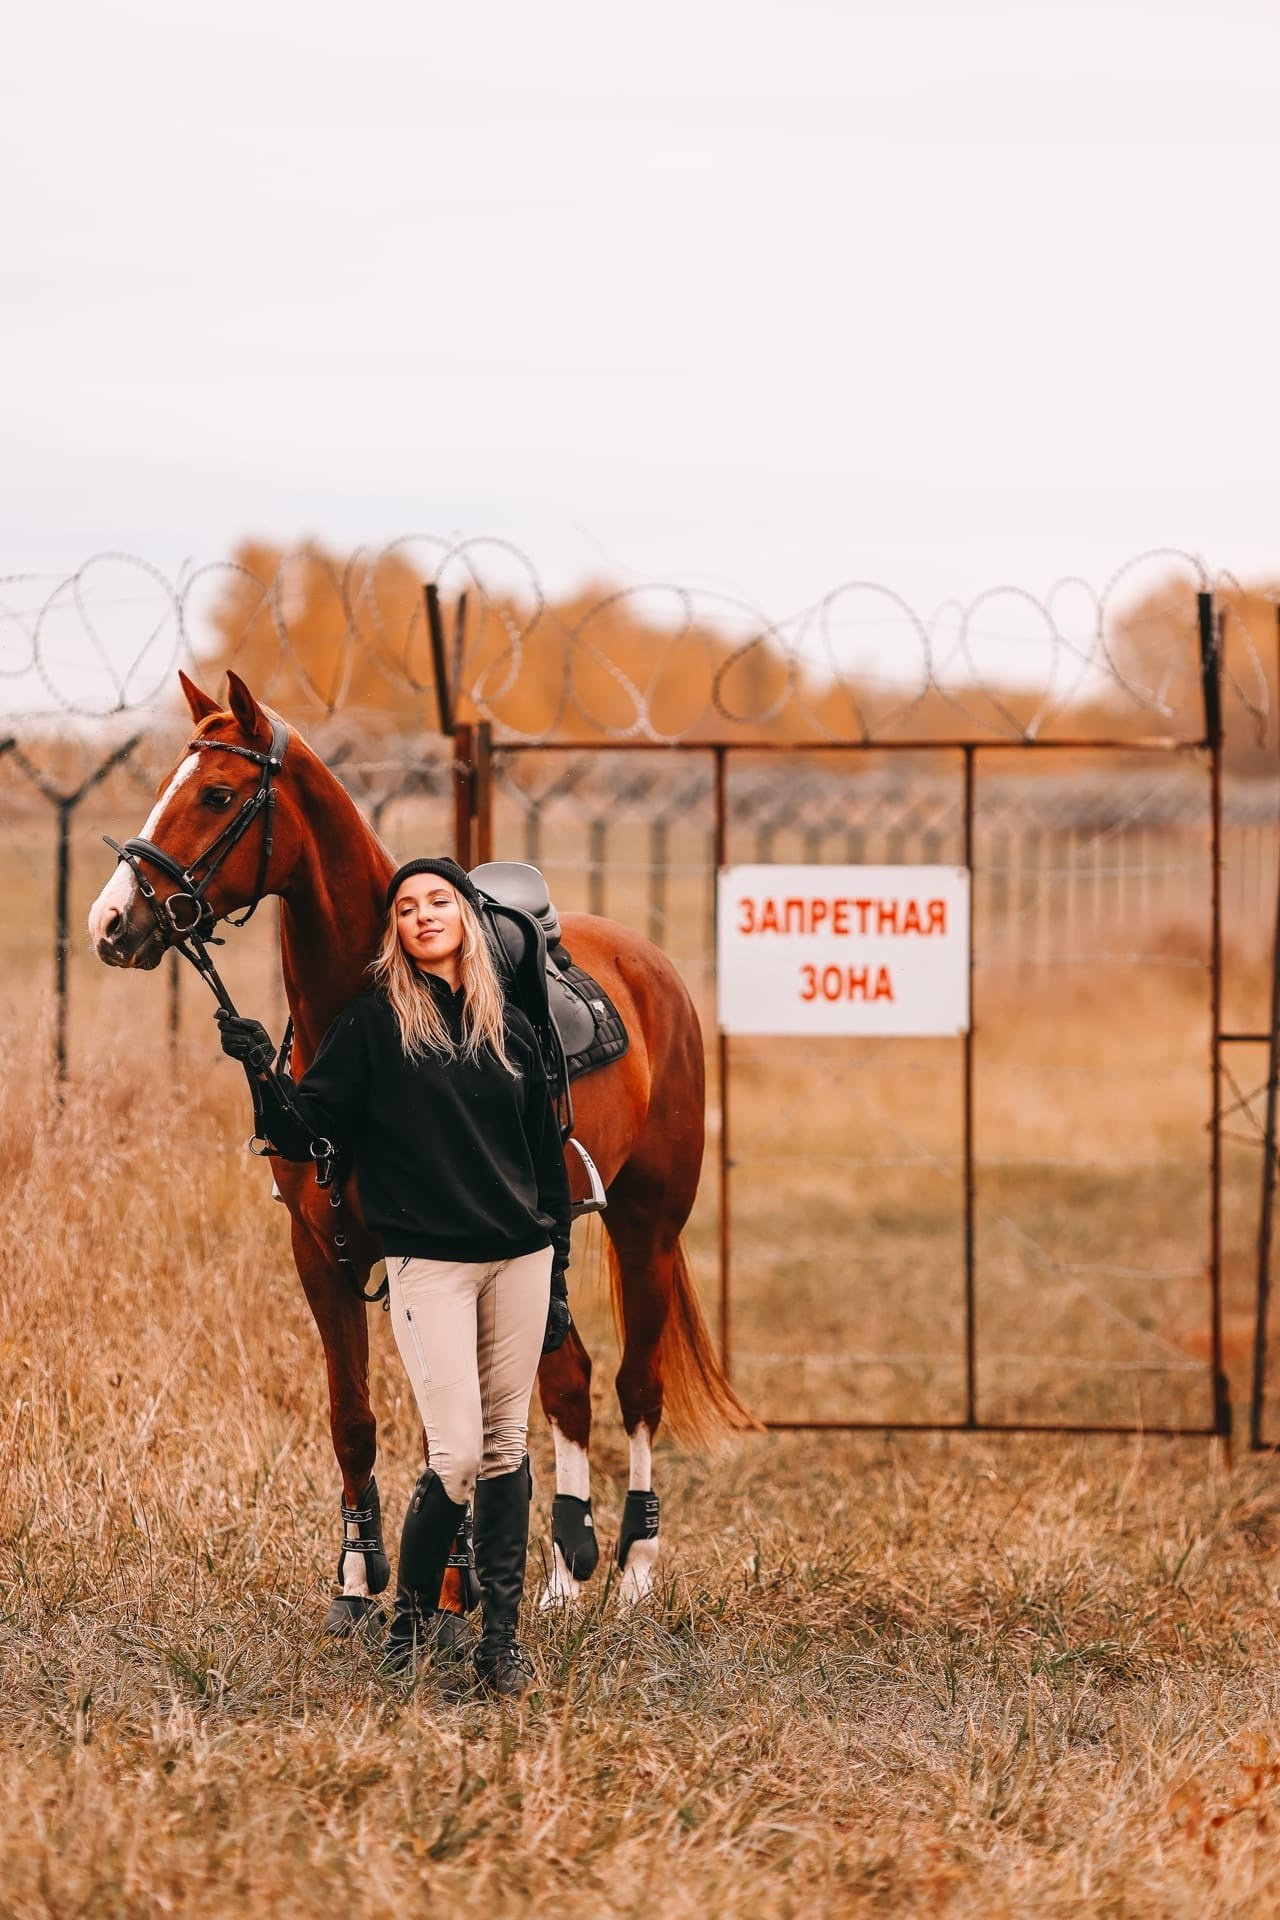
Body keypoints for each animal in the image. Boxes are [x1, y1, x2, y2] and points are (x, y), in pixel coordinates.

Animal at [88, 669, 754, 1631]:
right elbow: (355, 1419)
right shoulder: (322, 1256)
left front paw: (446, 1582)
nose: (110, 922)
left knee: (636, 1385)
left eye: (215, 793)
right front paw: (359, 1579)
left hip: (647, 1228)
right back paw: (564, 1571)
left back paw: (633, 1571)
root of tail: (647, 963)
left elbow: (454, 1422)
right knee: (568, 1380)